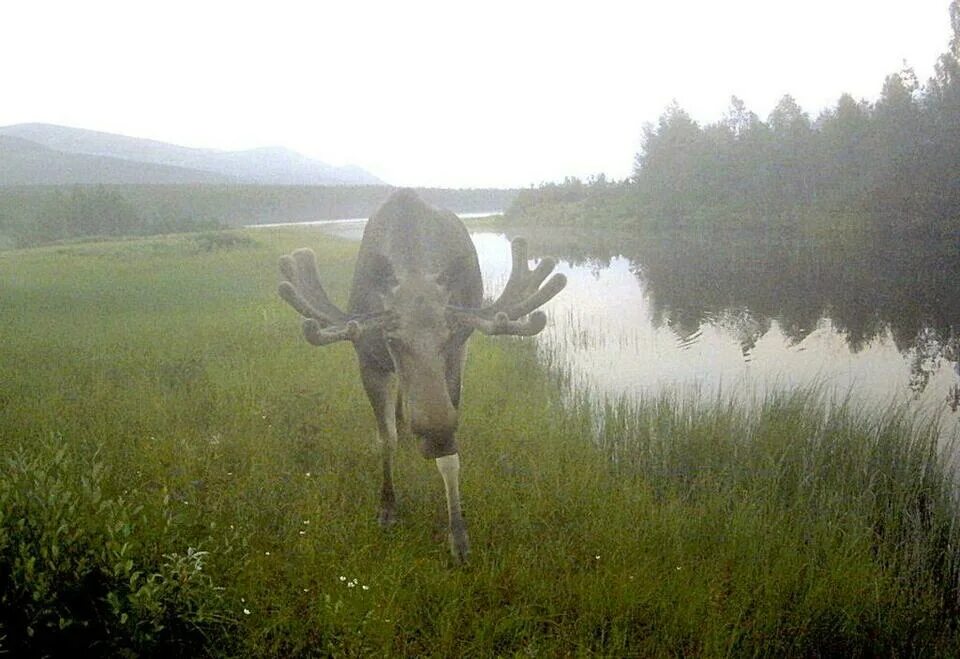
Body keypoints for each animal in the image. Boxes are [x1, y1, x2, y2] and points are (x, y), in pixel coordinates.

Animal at [276, 189, 564, 564]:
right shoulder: (368, 359)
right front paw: (387, 507)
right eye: (392, 339)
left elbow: (450, 462)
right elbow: (387, 439)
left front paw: (458, 534)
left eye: (448, 335)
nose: (438, 437)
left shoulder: (458, 353)